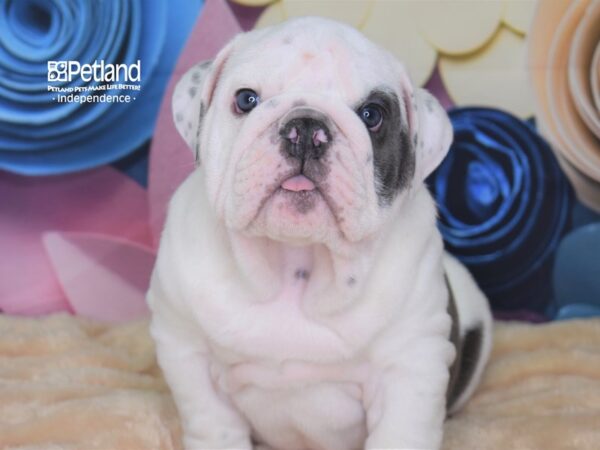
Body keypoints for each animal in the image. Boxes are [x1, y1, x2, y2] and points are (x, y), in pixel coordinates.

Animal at [146, 16, 492, 450]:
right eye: (246, 100)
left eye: (372, 115)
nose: (306, 126)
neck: (295, 261)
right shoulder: (185, 347)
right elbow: (213, 421)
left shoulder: (411, 365)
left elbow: (400, 430)